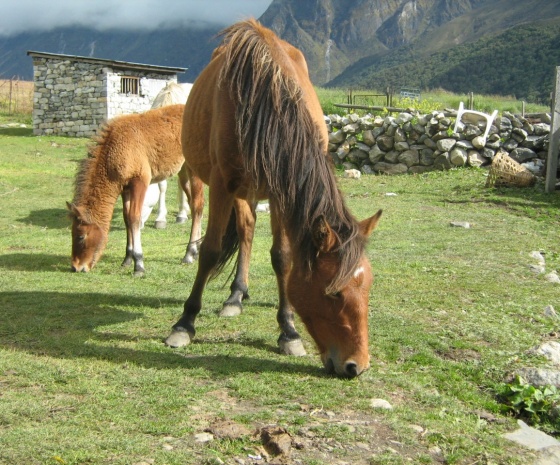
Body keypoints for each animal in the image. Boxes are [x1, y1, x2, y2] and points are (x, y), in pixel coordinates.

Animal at [66, 104, 190, 276]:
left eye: (80, 236)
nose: (76, 267)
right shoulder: (124, 187)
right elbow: (126, 218)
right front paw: (127, 258)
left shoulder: (140, 181)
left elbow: (134, 218)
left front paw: (139, 263)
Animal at [166, 20, 382, 378]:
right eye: (334, 293)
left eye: (368, 287)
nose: (357, 366)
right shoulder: (222, 185)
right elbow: (210, 252)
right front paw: (184, 324)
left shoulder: (282, 192)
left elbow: (283, 258)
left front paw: (289, 331)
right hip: (237, 189)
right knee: (245, 228)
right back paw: (234, 296)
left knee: (249, 229)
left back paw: (239, 293)